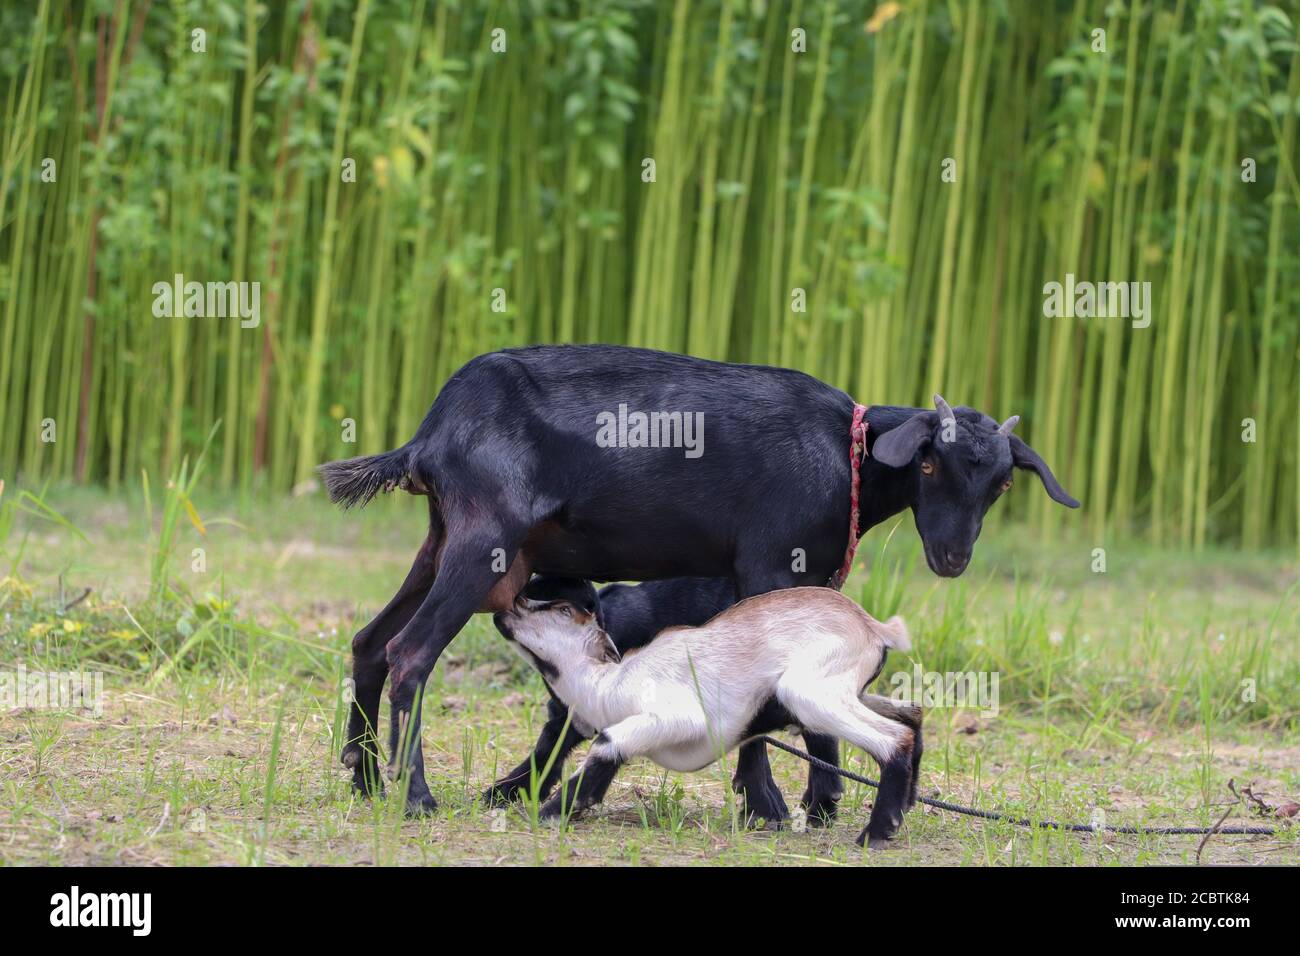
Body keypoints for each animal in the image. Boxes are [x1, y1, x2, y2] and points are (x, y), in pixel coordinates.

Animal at [317, 345, 1076, 822]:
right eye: (927, 464)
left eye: (1001, 481)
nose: (951, 556)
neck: (845, 452)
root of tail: (431, 434)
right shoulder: (768, 562)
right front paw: (777, 805)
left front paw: (818, 802)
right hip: (484, 542)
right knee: (410, 654)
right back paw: (415, 796)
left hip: (442, 540)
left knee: (367, 644)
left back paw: (363, 780)